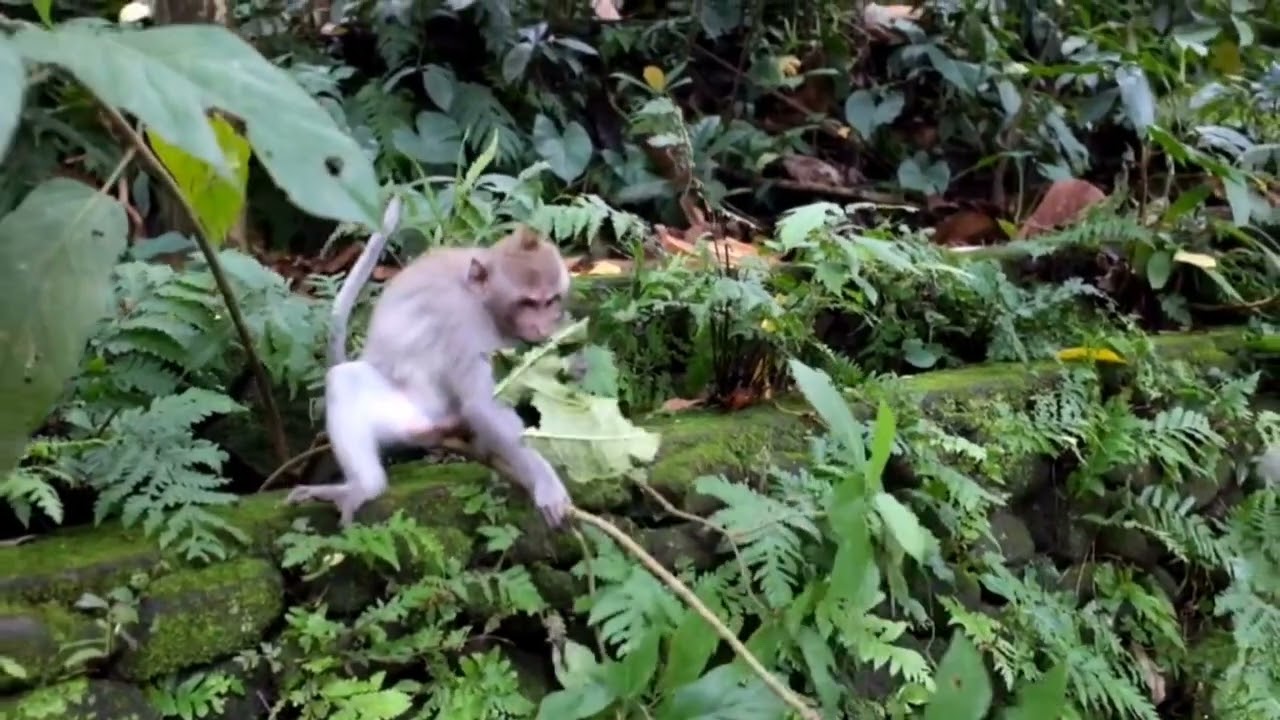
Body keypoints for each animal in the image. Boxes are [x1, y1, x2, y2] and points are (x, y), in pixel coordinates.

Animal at [284, 197, 574, 528]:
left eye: (550, 301)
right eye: (528, 303)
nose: (543, 326)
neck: (482, 300)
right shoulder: (462, 322)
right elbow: (483, 406)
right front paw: (545, 481)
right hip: (413, 415)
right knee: (345, 381)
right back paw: (364, 487)